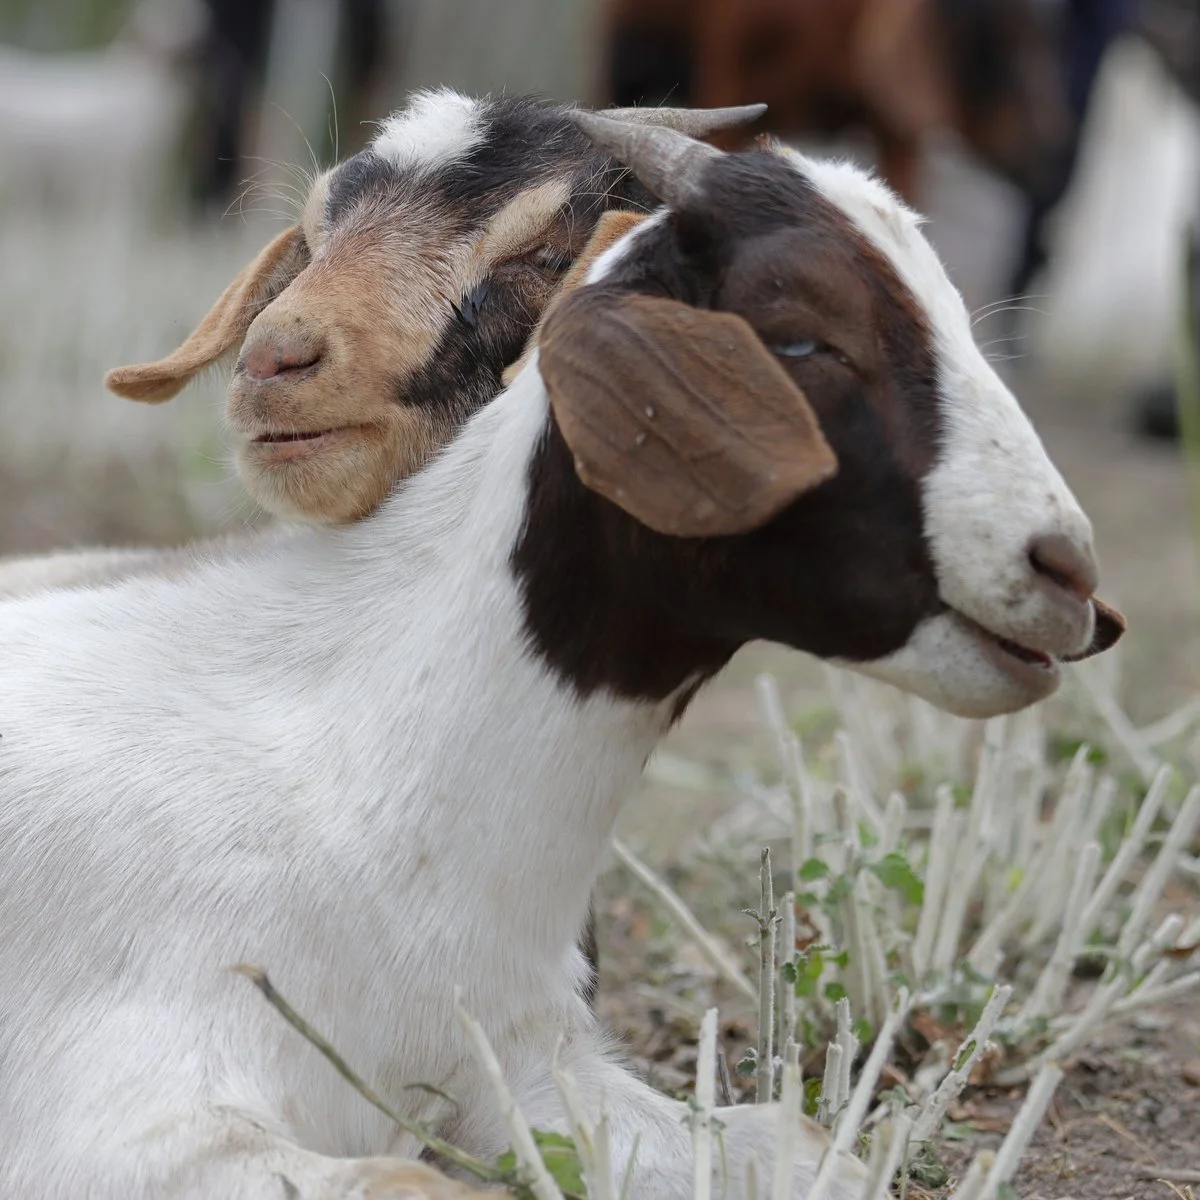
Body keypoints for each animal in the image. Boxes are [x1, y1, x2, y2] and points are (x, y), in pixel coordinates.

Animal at [0, 111, 1124, 1199]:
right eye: (803, 337)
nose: (1067, 571)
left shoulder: (531, 1061)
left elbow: (806, 1149)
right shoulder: (122, 1119)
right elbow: (411, 1182)